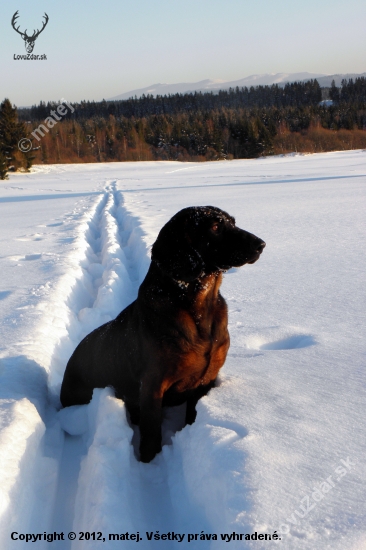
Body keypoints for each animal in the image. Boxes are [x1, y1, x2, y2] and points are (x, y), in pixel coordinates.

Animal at [60, 205, 266, 464]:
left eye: (233, 222)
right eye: (215, 226)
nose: (261, 244)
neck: (199, 309)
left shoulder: (206, 380)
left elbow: (192, 415)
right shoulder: (153, 385)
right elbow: (151, 431)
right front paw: (150, 463)